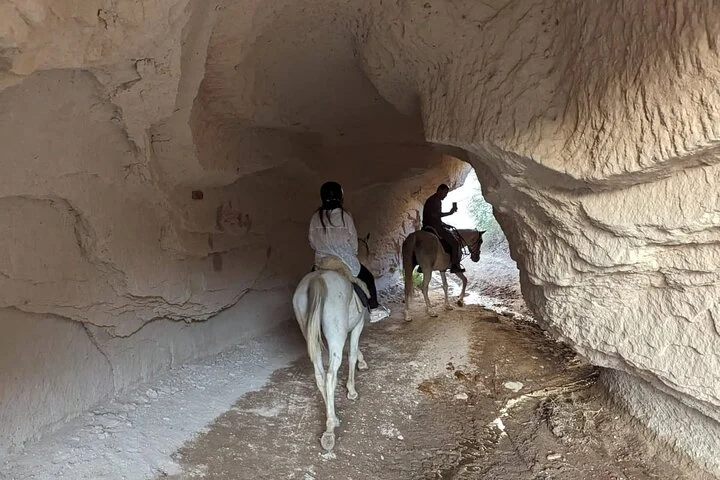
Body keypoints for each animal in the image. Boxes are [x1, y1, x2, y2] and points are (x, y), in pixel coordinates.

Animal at [292, 255, 370, 452]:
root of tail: (317, 279)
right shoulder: (357, 326)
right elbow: (352, 354)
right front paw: (351, 390)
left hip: (312, 337)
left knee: (320, 375)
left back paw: (332, 418)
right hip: (336, 336)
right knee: (330, 376)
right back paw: (329, 431)